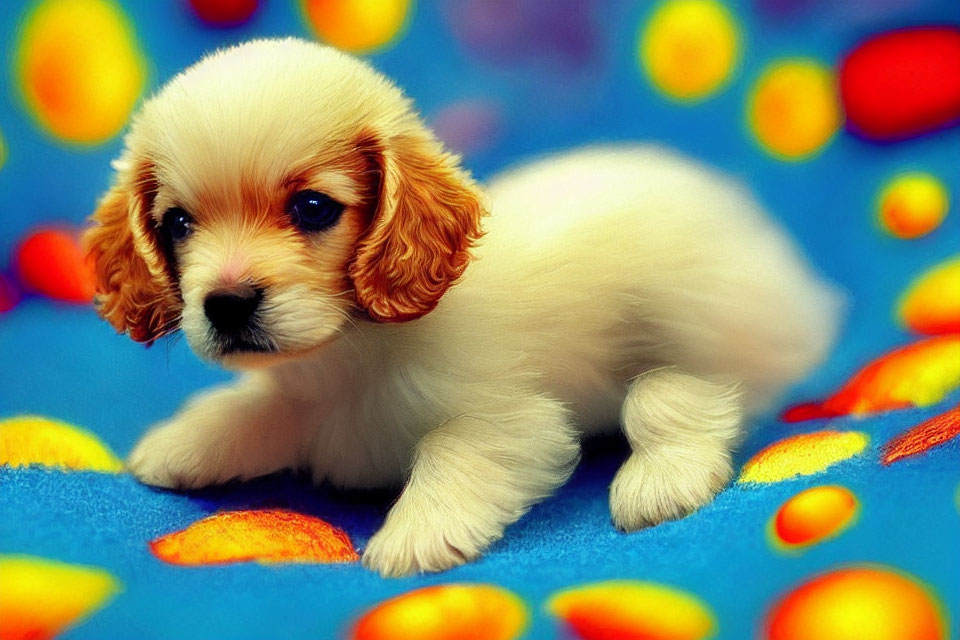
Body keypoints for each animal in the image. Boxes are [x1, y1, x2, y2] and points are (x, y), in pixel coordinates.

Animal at [86, 37, 844, 576]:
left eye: (313, 208)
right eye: (179, 223)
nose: (226, 304)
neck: (355, 350)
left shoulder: (512, 421)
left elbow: (452, 450)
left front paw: (417, 533)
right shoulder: (306, 396)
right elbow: (257, 406)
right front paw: (182, 441)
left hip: (695, 315)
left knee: (679, 393)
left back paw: (661, 478)